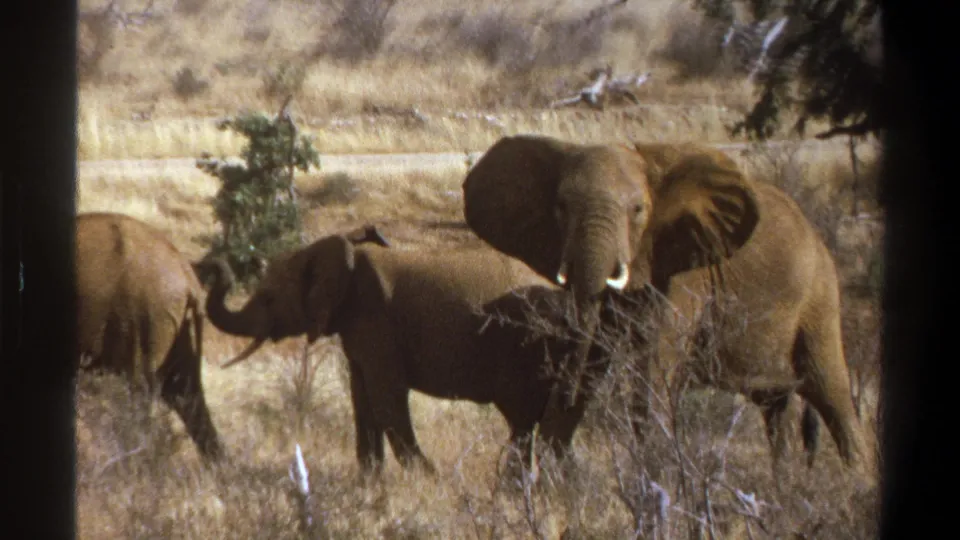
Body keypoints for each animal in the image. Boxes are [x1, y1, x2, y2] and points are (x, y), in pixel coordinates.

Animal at [202, 224, 590, 476]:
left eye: (268, 298)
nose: (210, 263)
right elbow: (363, 400)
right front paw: (371, 483)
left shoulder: (376, 320)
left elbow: (386, 398)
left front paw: (429, 481)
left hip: (527, 344)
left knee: (523, 421)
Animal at [461, 134, 875, 484]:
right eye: (560, 207)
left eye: (638, 209)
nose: (558, 397)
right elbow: (593, 351)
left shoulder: (683, 272)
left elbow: (652, 370)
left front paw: (654, 483)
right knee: (776, 407)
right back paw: (784, 490)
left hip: (819, 296)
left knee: (832, 391)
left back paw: (854, 486)